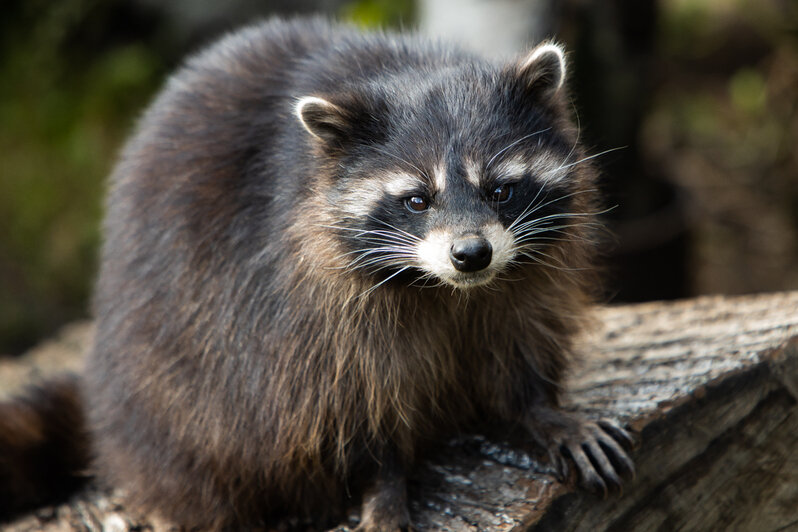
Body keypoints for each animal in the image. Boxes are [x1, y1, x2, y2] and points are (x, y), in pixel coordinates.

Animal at [1, 18, 636, 528]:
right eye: (417, 200)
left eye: (500, 189)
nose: (471, 254)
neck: (441, 288)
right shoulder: (300, 304)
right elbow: (345, 397)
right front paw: (383, 482)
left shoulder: (523, 274)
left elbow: (519, 335)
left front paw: (543, 412)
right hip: (163, 391)